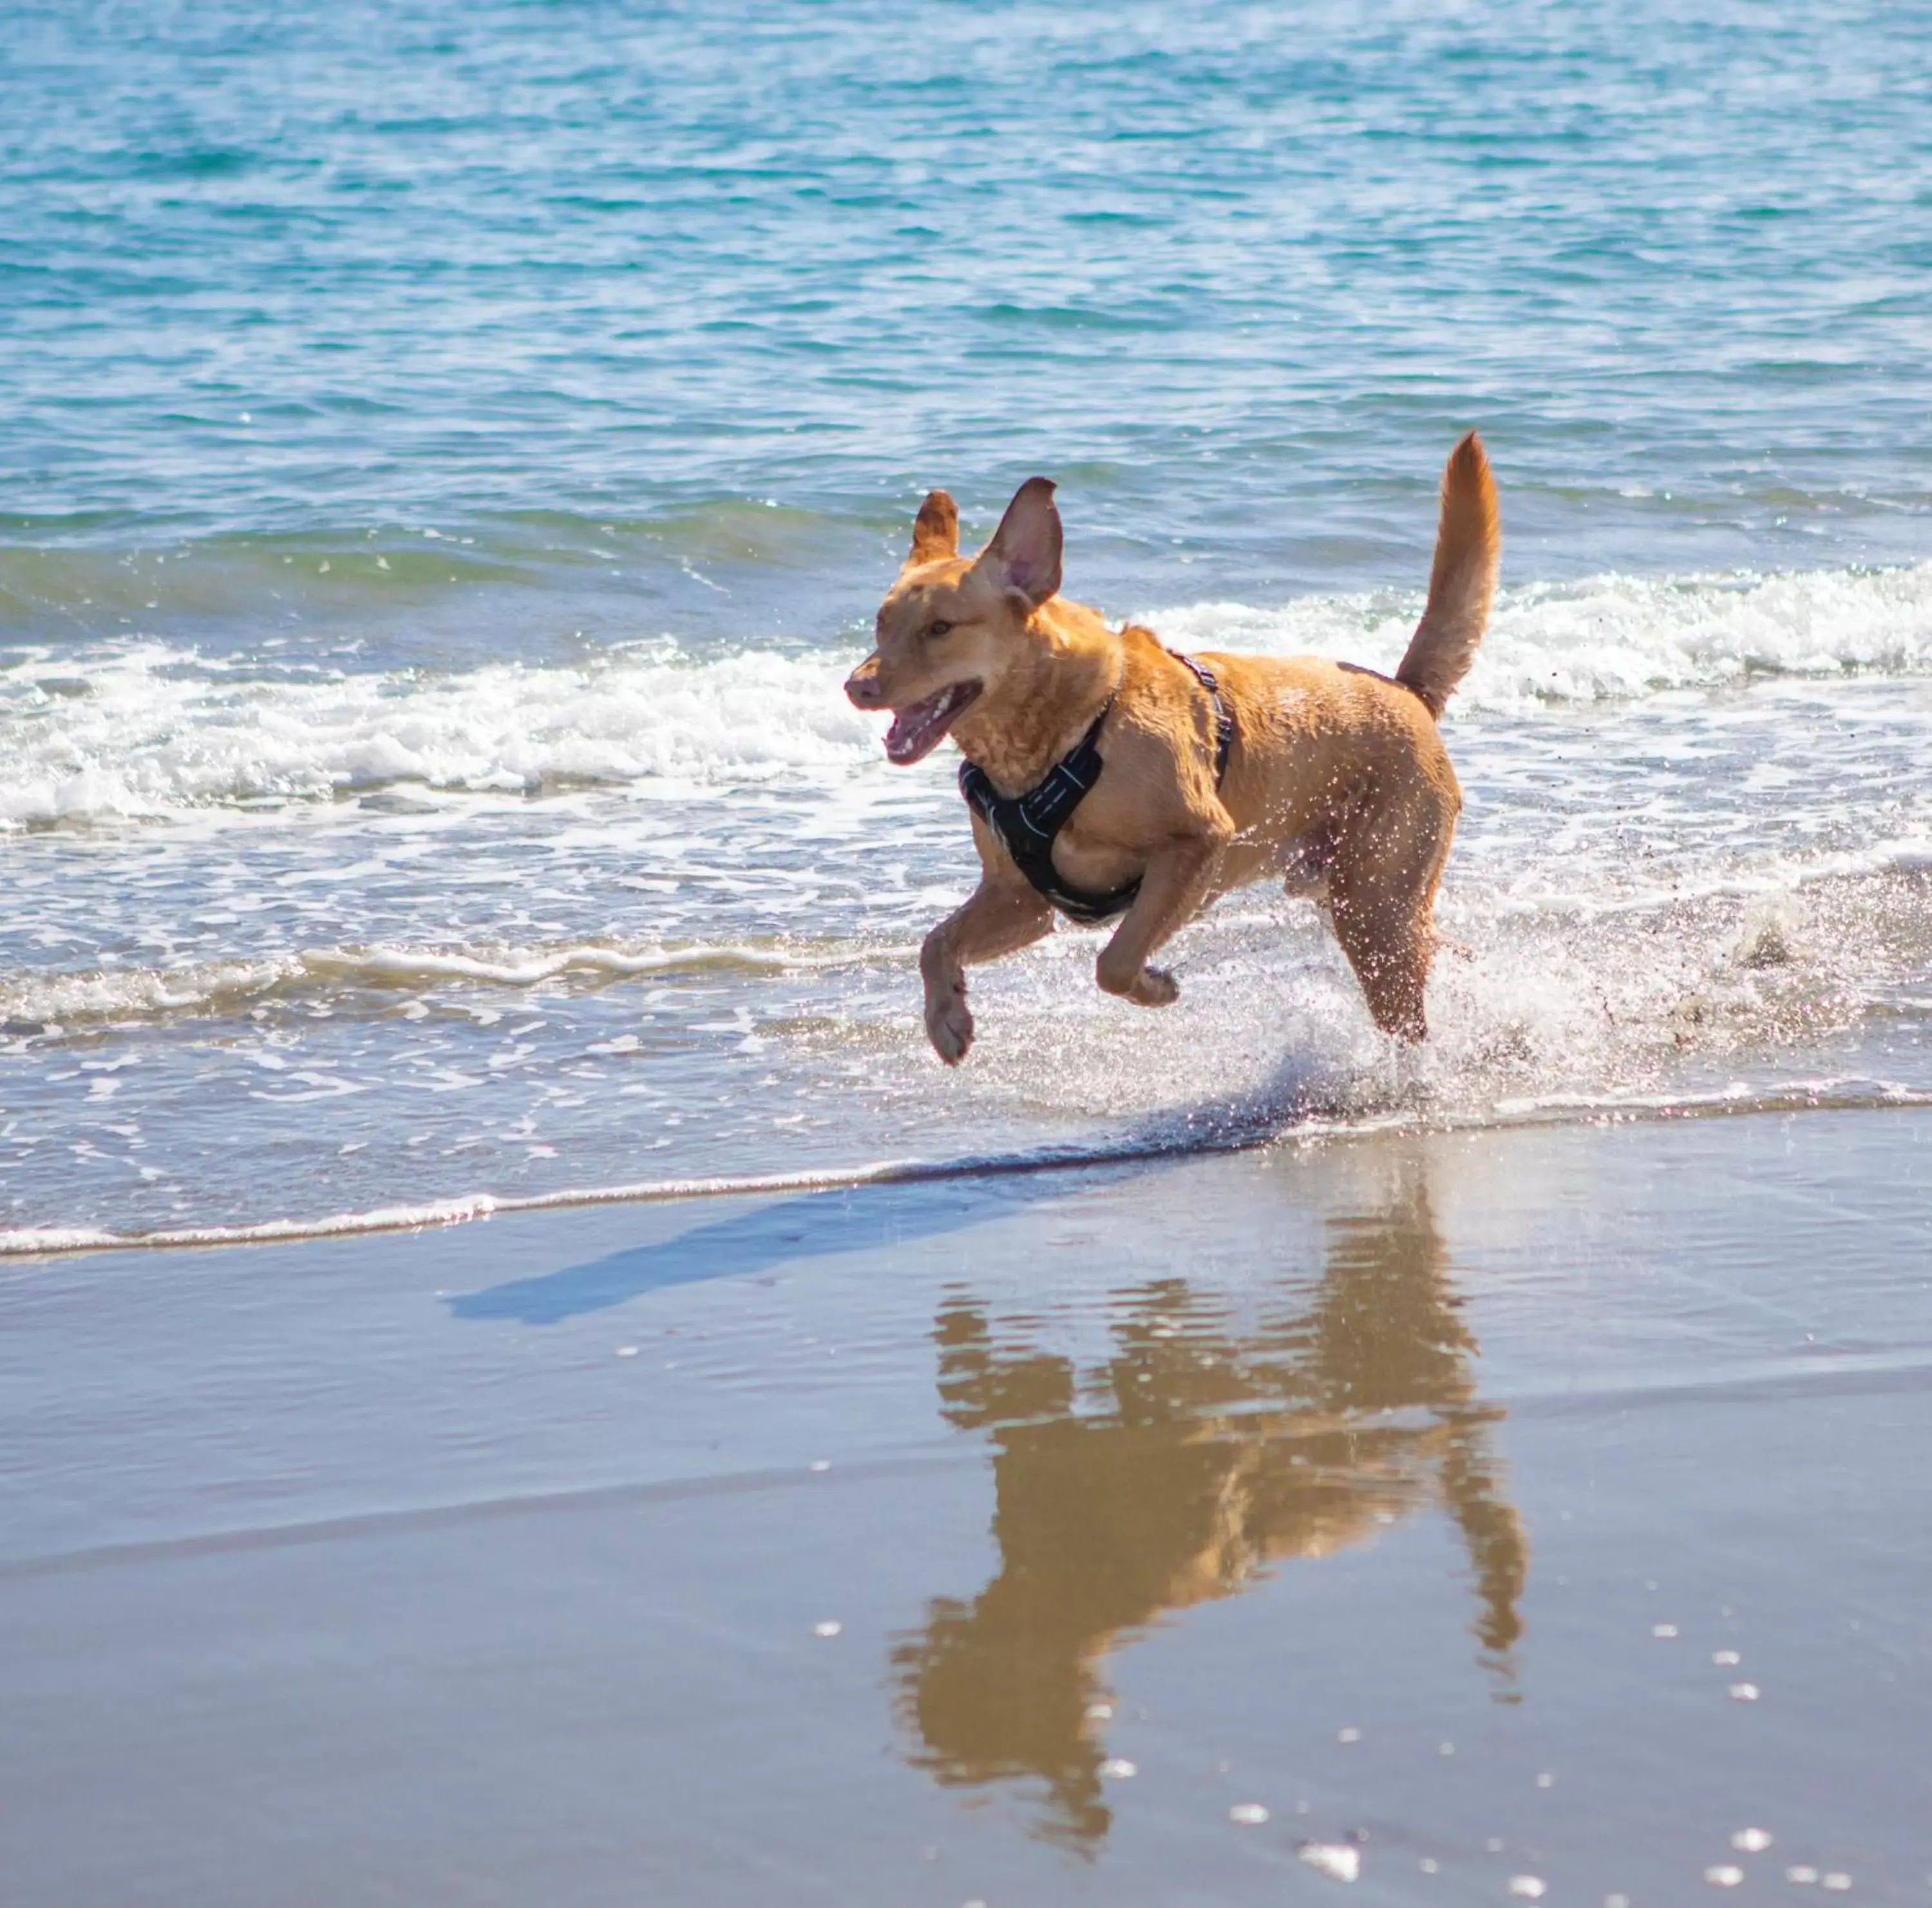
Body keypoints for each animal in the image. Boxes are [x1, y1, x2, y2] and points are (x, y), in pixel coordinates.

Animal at [850, 437, 1507, 1059]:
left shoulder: (1196, 844)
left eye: (940, 629)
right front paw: (946, 1018)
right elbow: (935, 942)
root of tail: (1406, 691)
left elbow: (1114, 963)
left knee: (1407, 1009)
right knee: (1436, 946)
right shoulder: (1019, 898)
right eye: (881, 624)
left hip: (1373, 908)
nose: (857, 686)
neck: (1067, 738)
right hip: (1349, 895)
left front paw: (1154, 985)